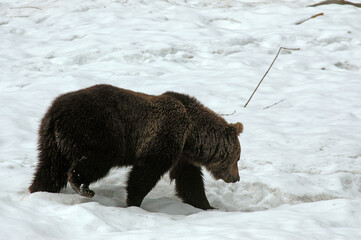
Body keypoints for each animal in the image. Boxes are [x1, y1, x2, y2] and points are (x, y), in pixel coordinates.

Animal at [28, 84, 242, 210]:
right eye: (237, 158)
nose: (236, 178)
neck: (191, 135)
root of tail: (55, 111)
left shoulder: (182, 155)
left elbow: (189, 181)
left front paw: (207, 206)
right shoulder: (164, 137)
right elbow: (144, 174)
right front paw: (134, 203)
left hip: (51, 142)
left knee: (49, 169)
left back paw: (40, 191)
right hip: (97, 130)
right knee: (95, 161)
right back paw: (81, 185)